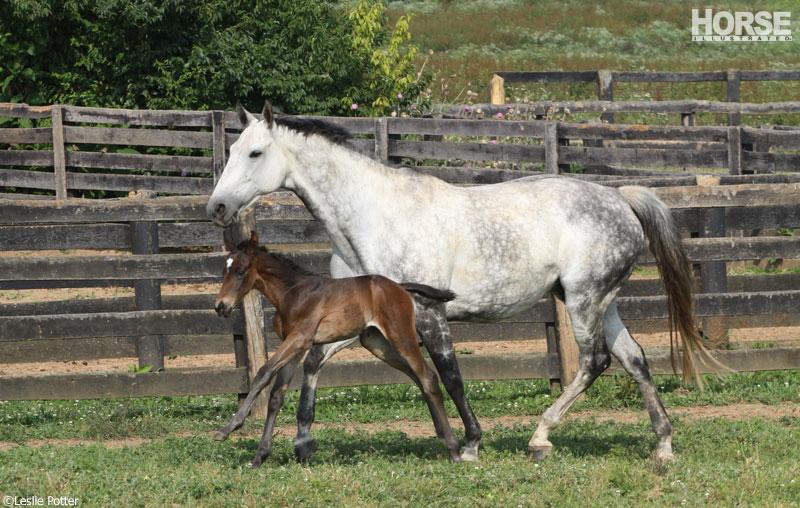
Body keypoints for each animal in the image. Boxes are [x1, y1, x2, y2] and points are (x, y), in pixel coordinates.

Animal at [214, 232, 462, 466]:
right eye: (224, 270)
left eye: (241, 271)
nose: (220, 306)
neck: (293, 293)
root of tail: (400, 287)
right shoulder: (294, 347)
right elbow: (276, 397)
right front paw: (259, 457)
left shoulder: (299, 339)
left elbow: (262, 373)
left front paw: (227, 429)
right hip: (377, 344)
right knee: (420, 377)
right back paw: (444, 437)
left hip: (402, 335)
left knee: (428, 376)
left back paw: (454, 450)